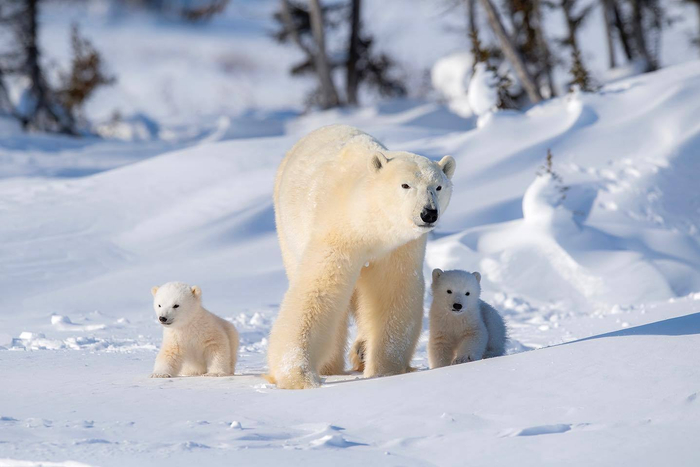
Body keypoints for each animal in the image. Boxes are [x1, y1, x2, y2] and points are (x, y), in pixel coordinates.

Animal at [267, 124, 456, 389]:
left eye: (438, 187)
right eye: (405, 185)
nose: (428, 213)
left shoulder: (398, 246)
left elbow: (392, 291)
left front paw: (384, 369)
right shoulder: (337, 231)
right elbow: (318, 289)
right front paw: (299, 375)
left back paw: (361, 353)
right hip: (287, 231)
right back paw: (331, 365)